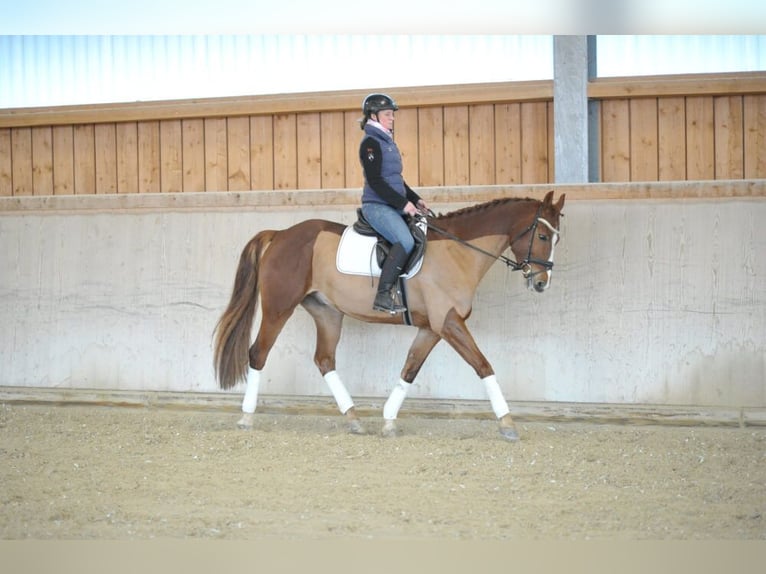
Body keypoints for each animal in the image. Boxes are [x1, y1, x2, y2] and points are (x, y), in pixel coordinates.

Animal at [213, 190, 568, 440]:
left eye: (557, 238)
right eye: (541, 236)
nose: (541, 283)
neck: (457, 251)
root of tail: (280, 234)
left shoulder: (432, 328)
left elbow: (409, 369)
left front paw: (388, 420)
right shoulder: (449, 322)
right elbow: (483, 365)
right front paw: (507, 423)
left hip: (327, 313)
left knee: (325, 360)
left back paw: (354, 418)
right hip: (279, 308)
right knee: (258, 354)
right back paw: (246, 417)